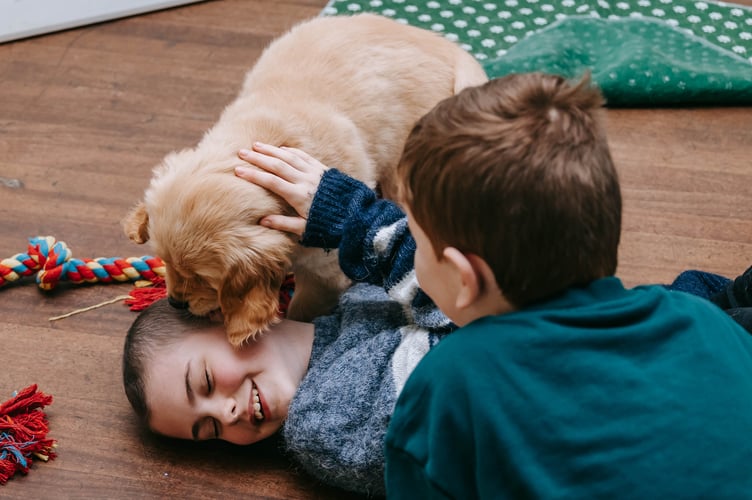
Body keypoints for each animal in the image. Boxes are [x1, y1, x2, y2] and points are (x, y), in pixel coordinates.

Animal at [123, 12, 488, 348]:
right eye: (166, 262)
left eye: (203, 278)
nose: (175, 302)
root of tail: (446, 46)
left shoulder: (325, 274)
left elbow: (301, 311)